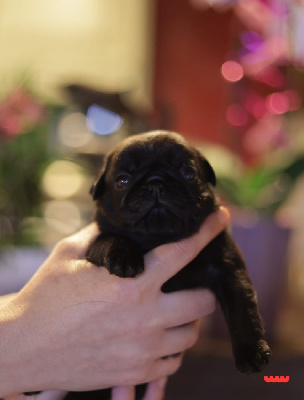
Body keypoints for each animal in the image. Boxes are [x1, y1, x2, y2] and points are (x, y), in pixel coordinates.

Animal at [24, 130, 270, 398]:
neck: (159, 238)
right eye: (122, 180)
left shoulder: (228, 268)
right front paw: (124, 258)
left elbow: (242, 309)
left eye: (188, 172)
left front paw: (252, 352)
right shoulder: (95, 245)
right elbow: (112, 238)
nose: (155, 183)